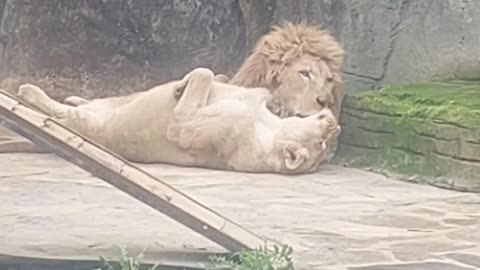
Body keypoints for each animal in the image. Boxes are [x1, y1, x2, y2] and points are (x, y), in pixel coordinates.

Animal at [18, 67, 340, 173]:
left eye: (321, 144)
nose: (334, 124)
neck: (267, 127)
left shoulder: (195, 128)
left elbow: (201, 80)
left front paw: (181, 87)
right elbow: (219, 77)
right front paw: (183, 84)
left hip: (93, 125)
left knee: (65, 114)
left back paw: (29, 91)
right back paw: (75, 97)